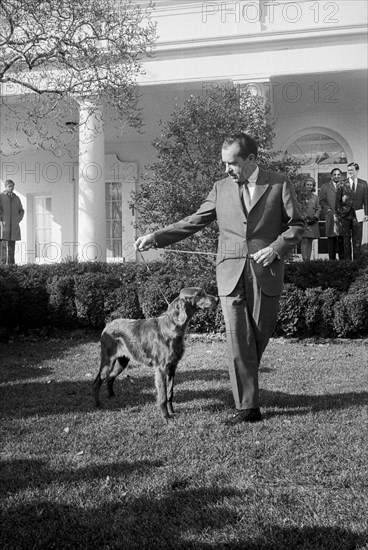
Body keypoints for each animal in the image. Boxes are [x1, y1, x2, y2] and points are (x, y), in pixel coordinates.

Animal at [92, 288, 218, 422]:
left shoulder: (172, 367)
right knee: (97, 382)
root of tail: (107, 326)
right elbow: (162, 396)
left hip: (122, 361)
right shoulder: (161, 369)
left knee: (110, 377)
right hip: (108, 360)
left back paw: (112, 396)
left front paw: (172, 412)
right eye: (199, 294)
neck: (172, 327)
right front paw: (166, 417)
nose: (217, 299)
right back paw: (98, 405)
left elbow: (170, 393)